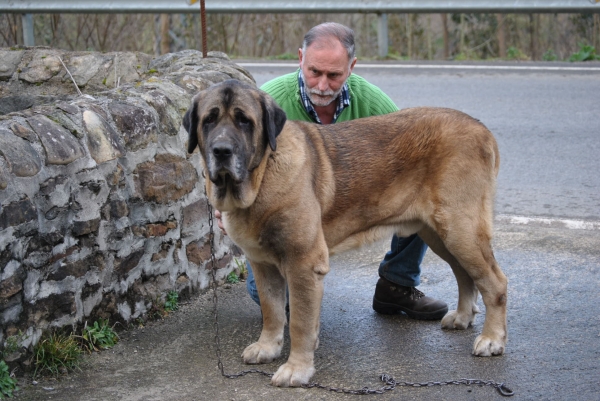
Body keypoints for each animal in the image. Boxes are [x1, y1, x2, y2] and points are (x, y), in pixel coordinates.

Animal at [183, 79, 506, 388]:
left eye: (244, 121)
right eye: (209, 120)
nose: (221, 151)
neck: (261, 177)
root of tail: (481, 129)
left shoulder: (303, 264)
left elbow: (299, 322)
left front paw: (296, 369)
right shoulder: (263, 265)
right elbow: (271, 310)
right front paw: (267, 347)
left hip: (460, 229)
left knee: (495, 282)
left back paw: (492, 339)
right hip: (439, 234)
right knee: (466, 275)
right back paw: (463, 317)